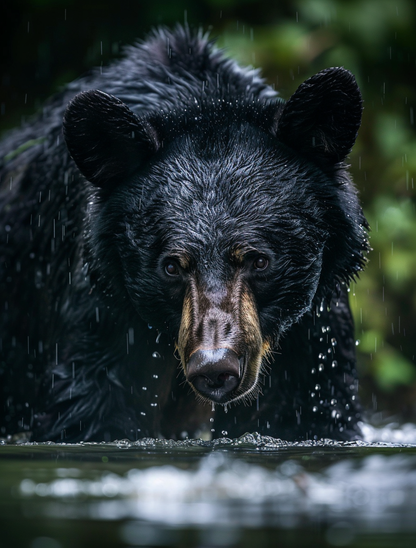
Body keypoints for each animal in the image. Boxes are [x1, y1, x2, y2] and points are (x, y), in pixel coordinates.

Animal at [0, 25, 368, 444]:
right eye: (172, 266)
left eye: (259, 260)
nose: (215, 368)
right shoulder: (103, 313)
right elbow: (90, 404)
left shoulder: (311, 328)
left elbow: (309, 407)